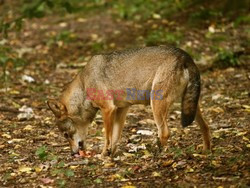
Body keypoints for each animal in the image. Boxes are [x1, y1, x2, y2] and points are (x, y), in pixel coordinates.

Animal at [47, 46, 211, 157]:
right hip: (190, 107)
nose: (72, 154)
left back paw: (158, 156)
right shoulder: (121, 110)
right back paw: (206, 151)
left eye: (65, 135)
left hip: (156, 106)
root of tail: (184, 55)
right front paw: (111, 156)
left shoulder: (108, 109)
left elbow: (107, 138)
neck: (84, 86)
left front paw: (102, 155)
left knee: (164, 132)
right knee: (205, 126)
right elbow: (115, 138)